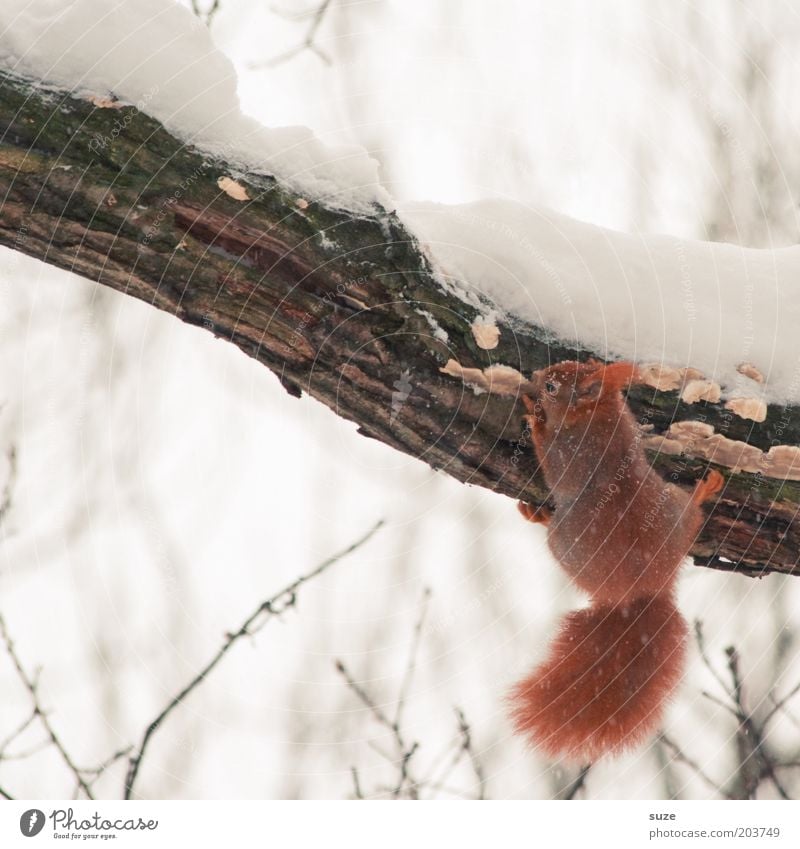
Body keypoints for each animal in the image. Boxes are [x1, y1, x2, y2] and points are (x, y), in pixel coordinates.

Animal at [512, 358, 724, 760]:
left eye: (552, 386)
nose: (533, 376)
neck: (597, 413)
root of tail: (642, 592)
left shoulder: (569, 452)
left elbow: (548, 453)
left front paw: (534, 416)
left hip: (563, 543)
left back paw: (537, 515)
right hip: (672, 502)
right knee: (692, 514)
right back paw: (705, 490)